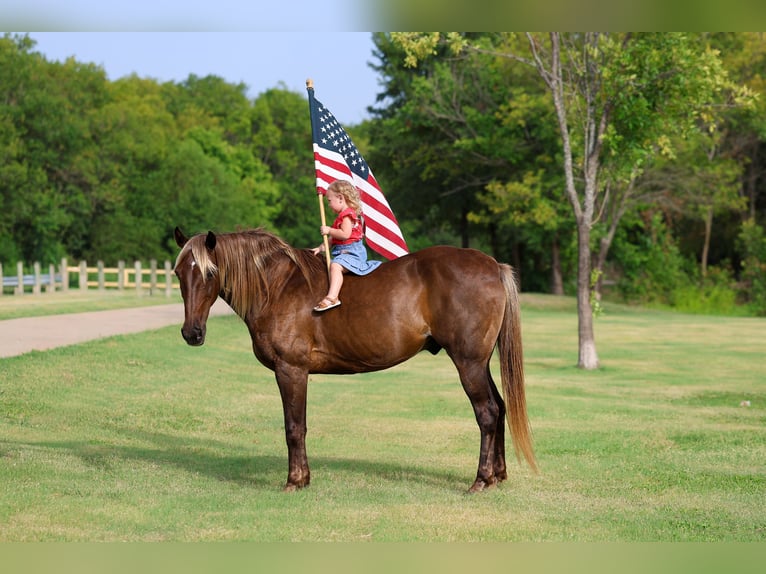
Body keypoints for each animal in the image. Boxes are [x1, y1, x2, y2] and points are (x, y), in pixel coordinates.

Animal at [173, 227, 537, 492]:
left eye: (210, 273)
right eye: (178, 273)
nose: (191, 333)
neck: (279, 286)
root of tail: (493, 266)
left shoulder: (291, 371)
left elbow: (294, 427)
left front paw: (295, 481)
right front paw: (303, 478)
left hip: (468, 363)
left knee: (487, 413)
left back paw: (481, 480)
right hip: (480, 363)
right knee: (500, 407)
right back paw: (498, 475)